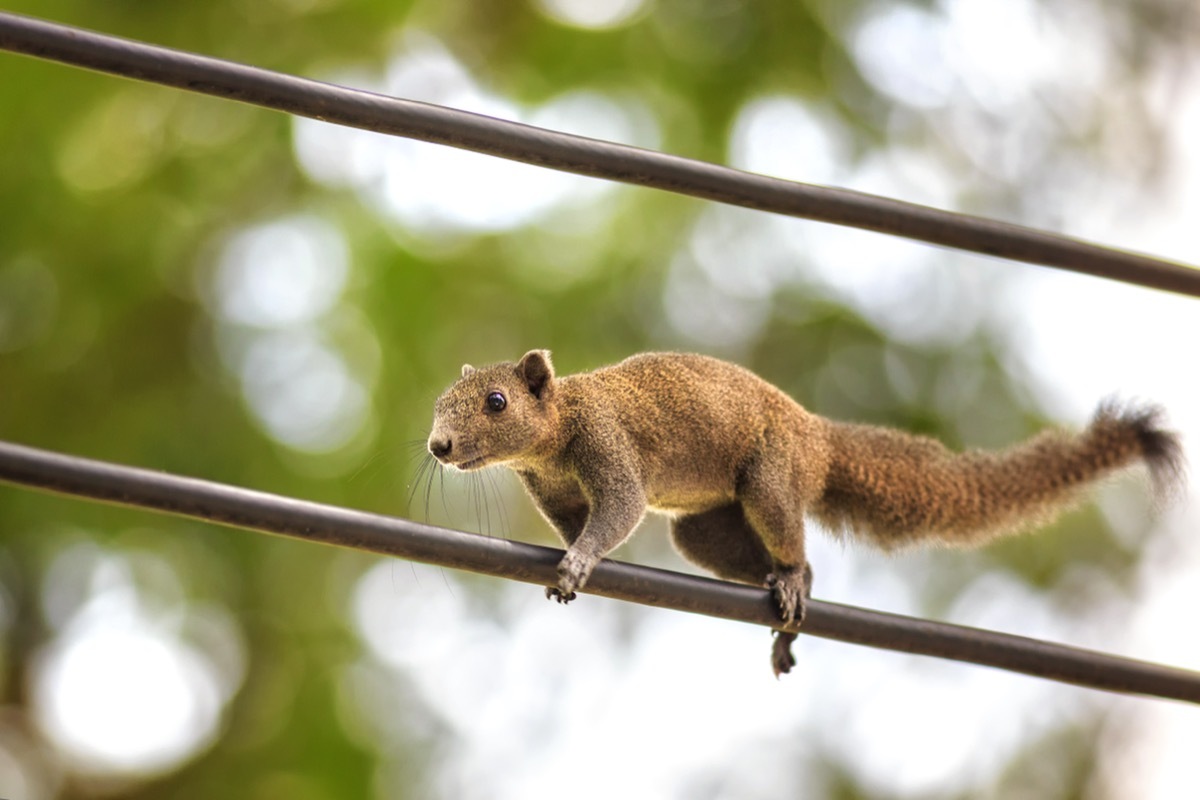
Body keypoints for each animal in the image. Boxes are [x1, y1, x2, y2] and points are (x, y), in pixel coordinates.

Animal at [427, 352, 1185, 676]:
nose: (438, 446)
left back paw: (792, 580)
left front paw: (581, 561)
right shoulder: (548, 486)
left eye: (496, 401)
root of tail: (818, 438)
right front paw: (568, 561)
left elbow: (618, 509)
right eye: (440, 402)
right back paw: (786, 603)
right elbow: (572, 519)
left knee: (790, 538)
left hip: (772, 475)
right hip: (703, 529)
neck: (554, 431)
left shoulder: (607, 443)